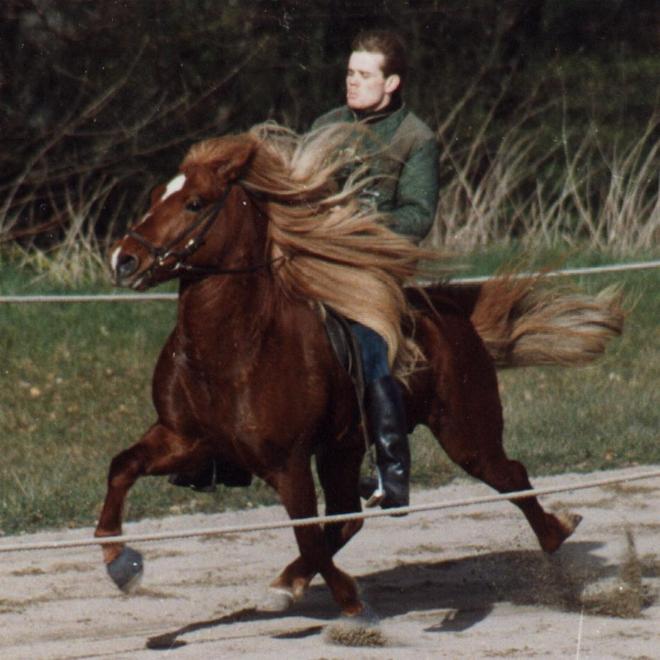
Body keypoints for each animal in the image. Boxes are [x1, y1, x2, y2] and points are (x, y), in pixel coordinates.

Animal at [99, 122, 624, 620]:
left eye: (194, 203)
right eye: (155, 197)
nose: (124, 260)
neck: (233, 352)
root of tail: (452, 316)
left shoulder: (286, 463)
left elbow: (309, 534)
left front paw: (351, 604)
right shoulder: (184, 439)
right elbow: (121, 467)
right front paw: (121, 563)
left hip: (465, 433)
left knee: (509, 475)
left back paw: (558, 532)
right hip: (344, 447)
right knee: (348, 515)